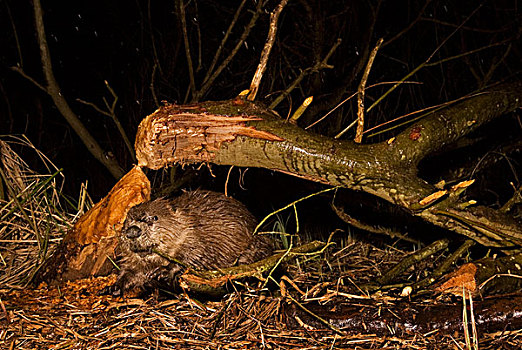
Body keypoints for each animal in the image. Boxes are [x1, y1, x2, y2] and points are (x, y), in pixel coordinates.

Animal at [109, 189, 272, 296]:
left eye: (154, 218)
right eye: (127, 220)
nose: (132, 231)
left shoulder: (200, 237)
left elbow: (195, 257)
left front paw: (161, 272)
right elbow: (131, 271)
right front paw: (115, 286)